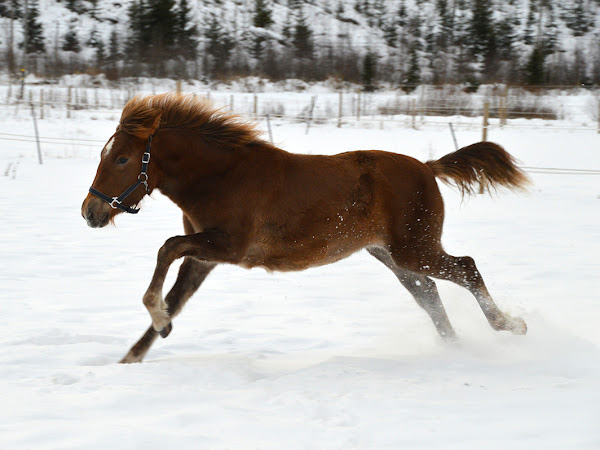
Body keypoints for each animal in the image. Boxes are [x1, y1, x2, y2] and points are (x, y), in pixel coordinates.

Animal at [79, 93, 528, 364]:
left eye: (122, 158)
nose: (90, 212)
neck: (223, 176)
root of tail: (428, 167)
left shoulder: (229, 247)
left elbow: (167, 248)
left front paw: (158, 321)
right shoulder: (205, 258)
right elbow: (176, 295)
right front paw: (135, 353)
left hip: (413, 249)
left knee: (466, 267)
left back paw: (509, 326)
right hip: (391, 255)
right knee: (430, 294)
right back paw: (454, 347)